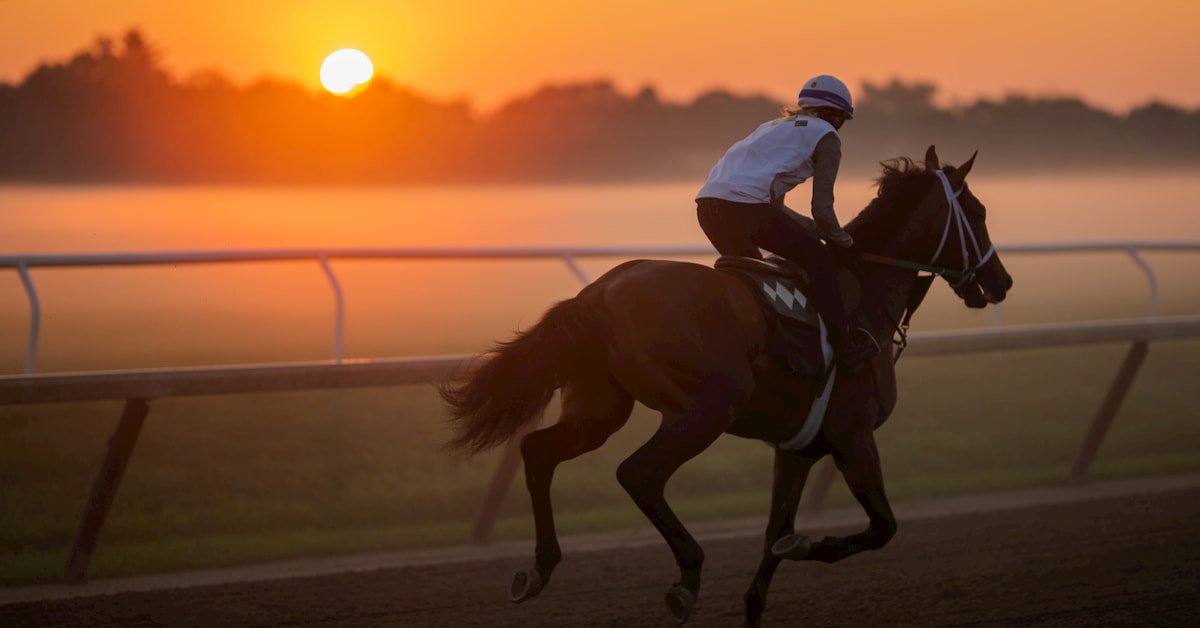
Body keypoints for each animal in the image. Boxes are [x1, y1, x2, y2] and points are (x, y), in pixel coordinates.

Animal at [441, 145, 1012, 624]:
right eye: (979, 214)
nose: (1001, 282)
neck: (868, 296)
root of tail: (595, 295)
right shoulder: (853, 438)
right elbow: (881, 528)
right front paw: (811, 546)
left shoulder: (799, 448)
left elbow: (775, 534)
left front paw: (762, 592)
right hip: (711, 405)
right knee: (638, 472)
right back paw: (687, 577)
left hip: (600, 409)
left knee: (538, 452)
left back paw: (538, 568)